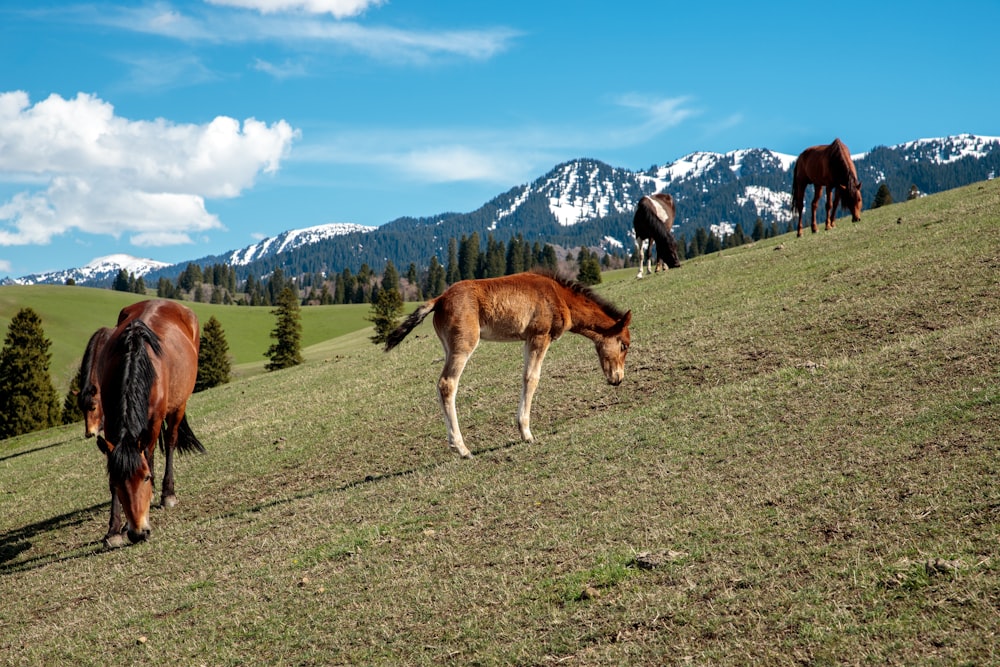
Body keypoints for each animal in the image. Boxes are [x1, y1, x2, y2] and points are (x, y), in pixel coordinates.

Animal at [384, 272, 632, 460]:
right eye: (624, 345)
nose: (617, 379)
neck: (559, 296)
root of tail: (441, 299)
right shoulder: (539, 336)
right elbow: (531, 378)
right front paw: (526, 433)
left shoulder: (528, 339)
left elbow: (526, 376)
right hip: (463, 346)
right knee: (447, 384)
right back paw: (462, 449)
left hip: (448, 347)